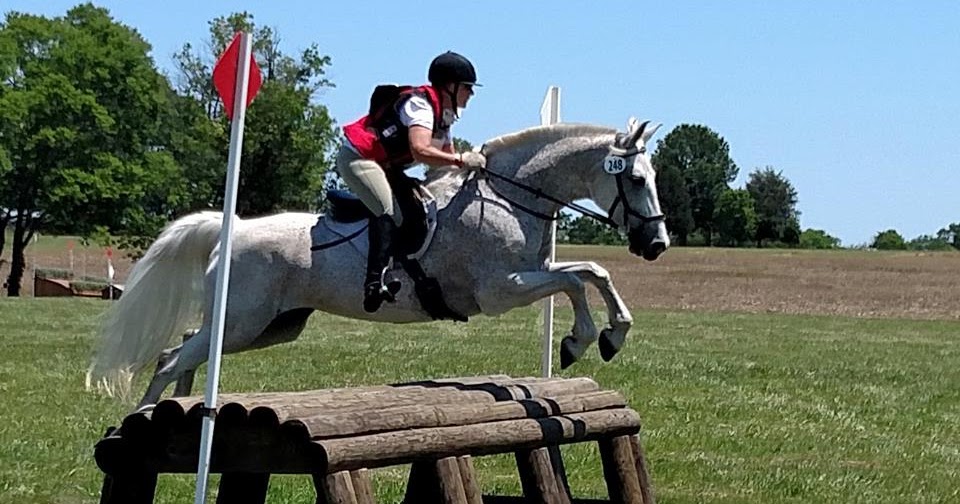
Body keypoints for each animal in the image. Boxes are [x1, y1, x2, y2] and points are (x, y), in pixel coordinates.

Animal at [86, 118, 670, 407]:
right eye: (638, 179)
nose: (658, 245)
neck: (510, 196)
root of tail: (233, 229)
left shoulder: (524, 278)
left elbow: (589, 272)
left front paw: (603, 336)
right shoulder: (502, 289)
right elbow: (581, 276)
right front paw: (586, 338)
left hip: (267, 327)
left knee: (184, 349)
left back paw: (178, 413)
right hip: (242, 322)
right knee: (170, 359)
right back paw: (140, 421)